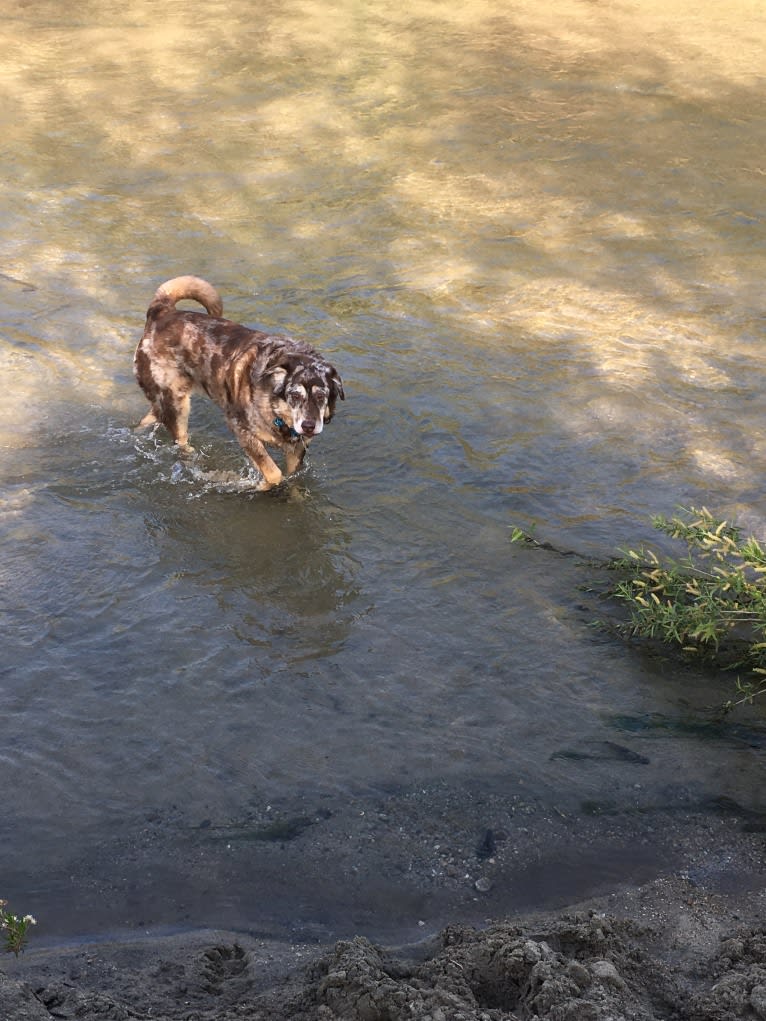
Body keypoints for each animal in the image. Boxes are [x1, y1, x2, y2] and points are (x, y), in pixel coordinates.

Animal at [133, 275, 345, 490]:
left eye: (321, 396)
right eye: (294, 395)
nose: (309, 426)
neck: (276, 411)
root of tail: (161, 311)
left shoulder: (297, 448)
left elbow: (292, 476)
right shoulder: (241, 430)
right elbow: (273, 473)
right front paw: (261, 485)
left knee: (148, 418)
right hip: (176, 404)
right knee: (180, 439)